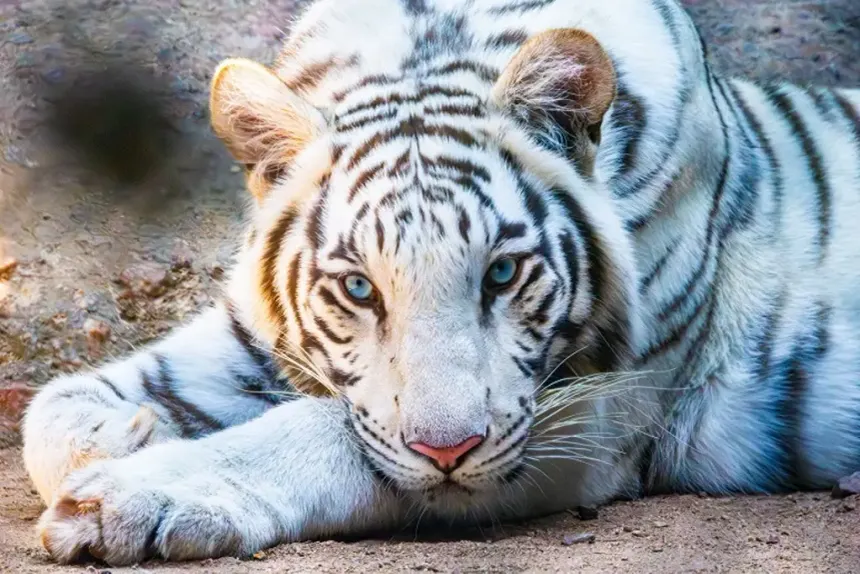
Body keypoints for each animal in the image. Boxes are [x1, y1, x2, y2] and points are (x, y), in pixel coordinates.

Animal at [20, 0, 860, 565]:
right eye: (359, 289)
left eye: (502, 272)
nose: (448, 452)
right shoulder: (250, 334)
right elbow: (52, 408)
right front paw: (129, 437)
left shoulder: (598, 412)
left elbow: (329, 431)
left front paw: (127, 498)